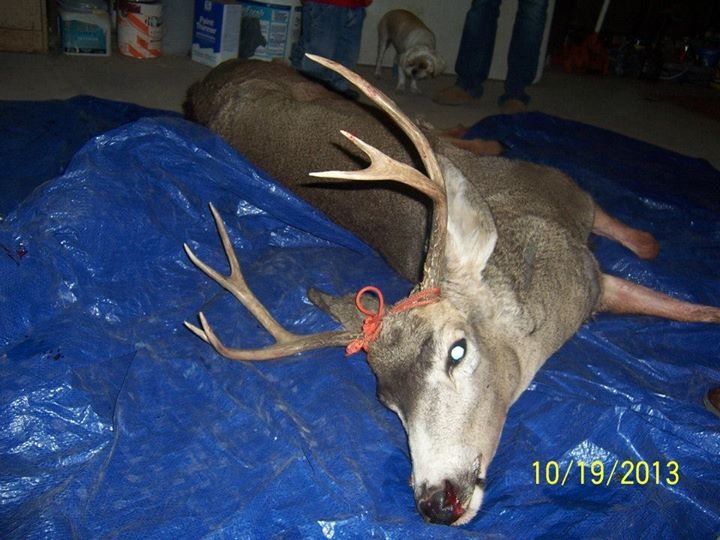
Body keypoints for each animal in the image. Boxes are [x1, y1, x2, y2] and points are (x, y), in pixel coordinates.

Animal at [183, 55, 720, 526]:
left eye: (457, 351)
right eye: (386, 400)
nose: (436, 502)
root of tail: (206, 86)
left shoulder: (569, 197)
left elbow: (658, 261)